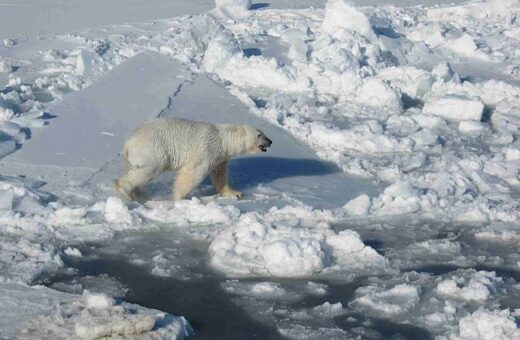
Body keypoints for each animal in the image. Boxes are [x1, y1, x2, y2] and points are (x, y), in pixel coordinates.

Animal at [113, 117, 272, 202]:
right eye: (260, 135)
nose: (270, 141)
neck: (223, 139)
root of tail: (128, 143)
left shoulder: (220, 157)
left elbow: (219, 176)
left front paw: (235, 193)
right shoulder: (207, 149)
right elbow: (193, 172)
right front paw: (178, 198)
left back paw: (139, 194)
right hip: (153, 150)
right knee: (148, 170)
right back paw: (124, 191)